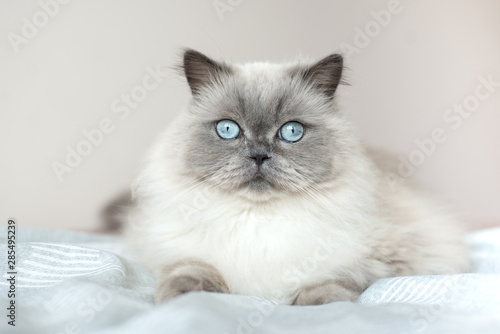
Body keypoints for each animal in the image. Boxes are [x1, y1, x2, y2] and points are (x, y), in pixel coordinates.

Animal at [127, 49, 470, 306]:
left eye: (291, 132)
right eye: (228, 129)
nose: (259, 155)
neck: (259, 222)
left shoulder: (386, 257)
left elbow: (338, 280)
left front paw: (320, 304)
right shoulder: (177, 250)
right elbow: (189, 269)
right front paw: (183, 296)